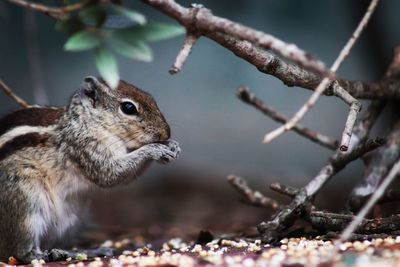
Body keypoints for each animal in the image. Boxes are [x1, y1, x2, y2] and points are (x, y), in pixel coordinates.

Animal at [0, 77, 180, 264]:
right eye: (128, 108)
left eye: (151, 98)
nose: (166, 132)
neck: (87, 122)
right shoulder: (85, 148)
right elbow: (110, 174)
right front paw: (155, 149)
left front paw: (172, 145)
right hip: (25, 205)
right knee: (20, 253)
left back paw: (83, 251)